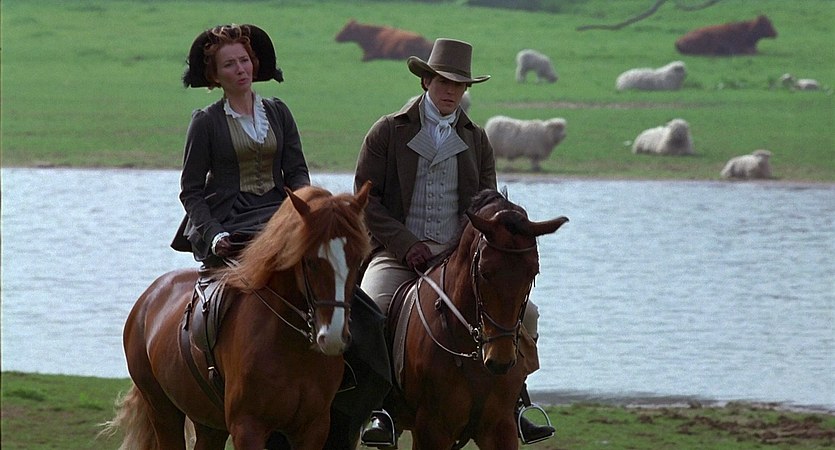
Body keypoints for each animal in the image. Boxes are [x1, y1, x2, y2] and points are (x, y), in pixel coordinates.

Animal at [105, 183, 372, 450]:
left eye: (357, 260)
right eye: (310, 262)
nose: (333, 336)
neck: (292, 348)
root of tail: (148, 298)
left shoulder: (313, 429)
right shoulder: (247, 427)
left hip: (209, 423)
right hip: (162, 411)